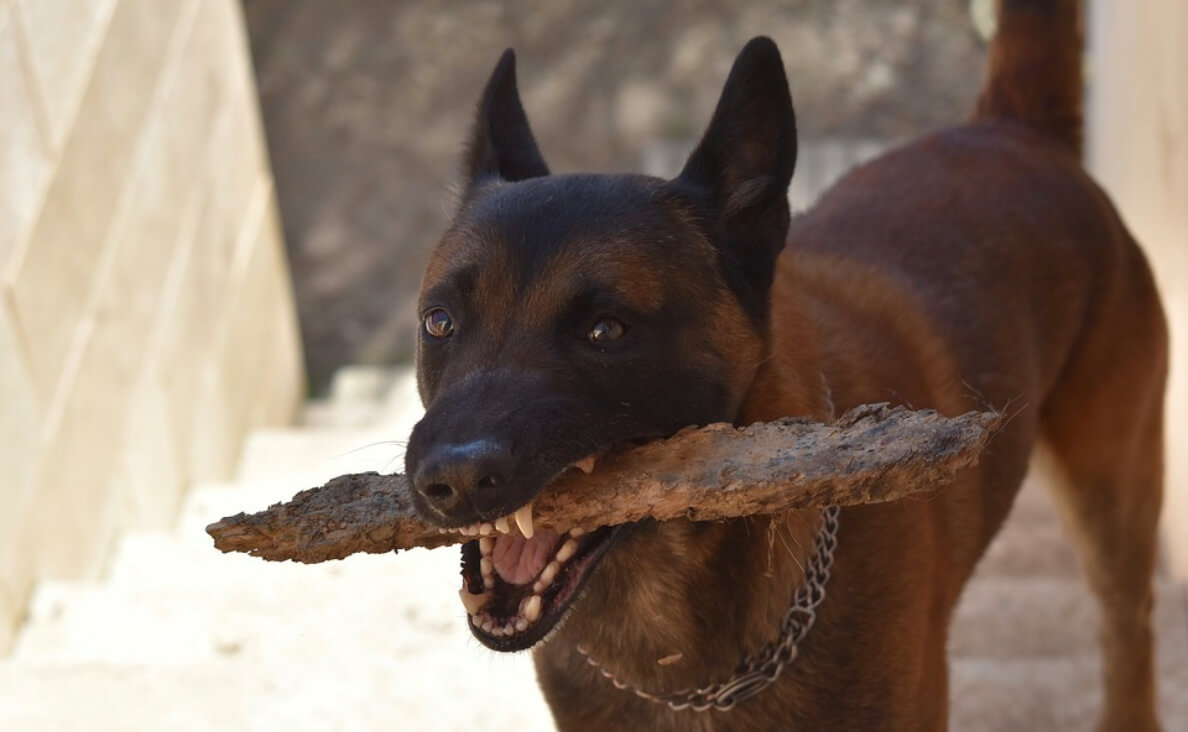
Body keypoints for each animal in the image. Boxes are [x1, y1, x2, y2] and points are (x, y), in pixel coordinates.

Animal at [403, 1, 1164, 727]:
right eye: (439, 322)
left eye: (604, 330)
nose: (454, 481)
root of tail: (1010, 130)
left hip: (1113, 510)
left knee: (1129, 635)